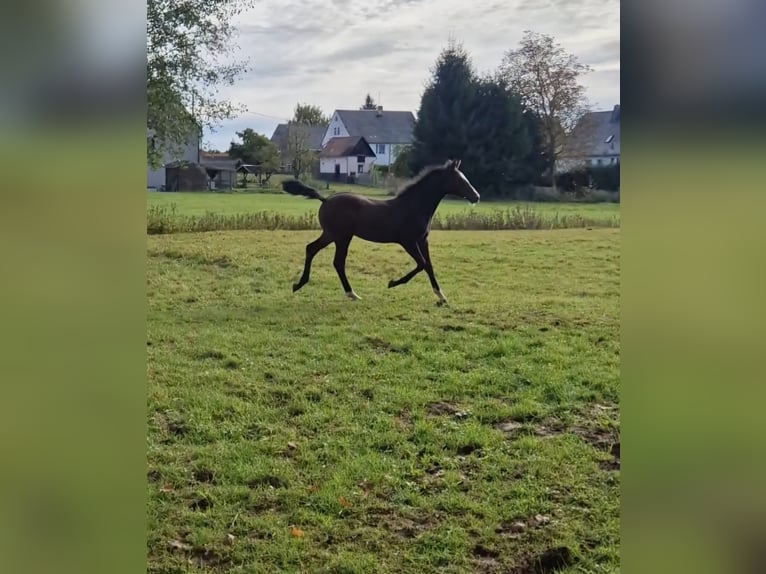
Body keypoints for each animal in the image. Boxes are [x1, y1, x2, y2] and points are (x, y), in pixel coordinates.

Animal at [281, 159, 480, 305]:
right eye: (460, 180)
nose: (476, 196)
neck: (414, 205)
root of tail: (325, 199)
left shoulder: (423, 240)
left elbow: (429, 266)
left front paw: (441, 296)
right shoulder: (408, 241)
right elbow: (422, 264)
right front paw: (392, 283)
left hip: (331, 235)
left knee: (311, 249)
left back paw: (299, 284)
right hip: (342, 236)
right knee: (337, 261)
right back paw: (352, 294)